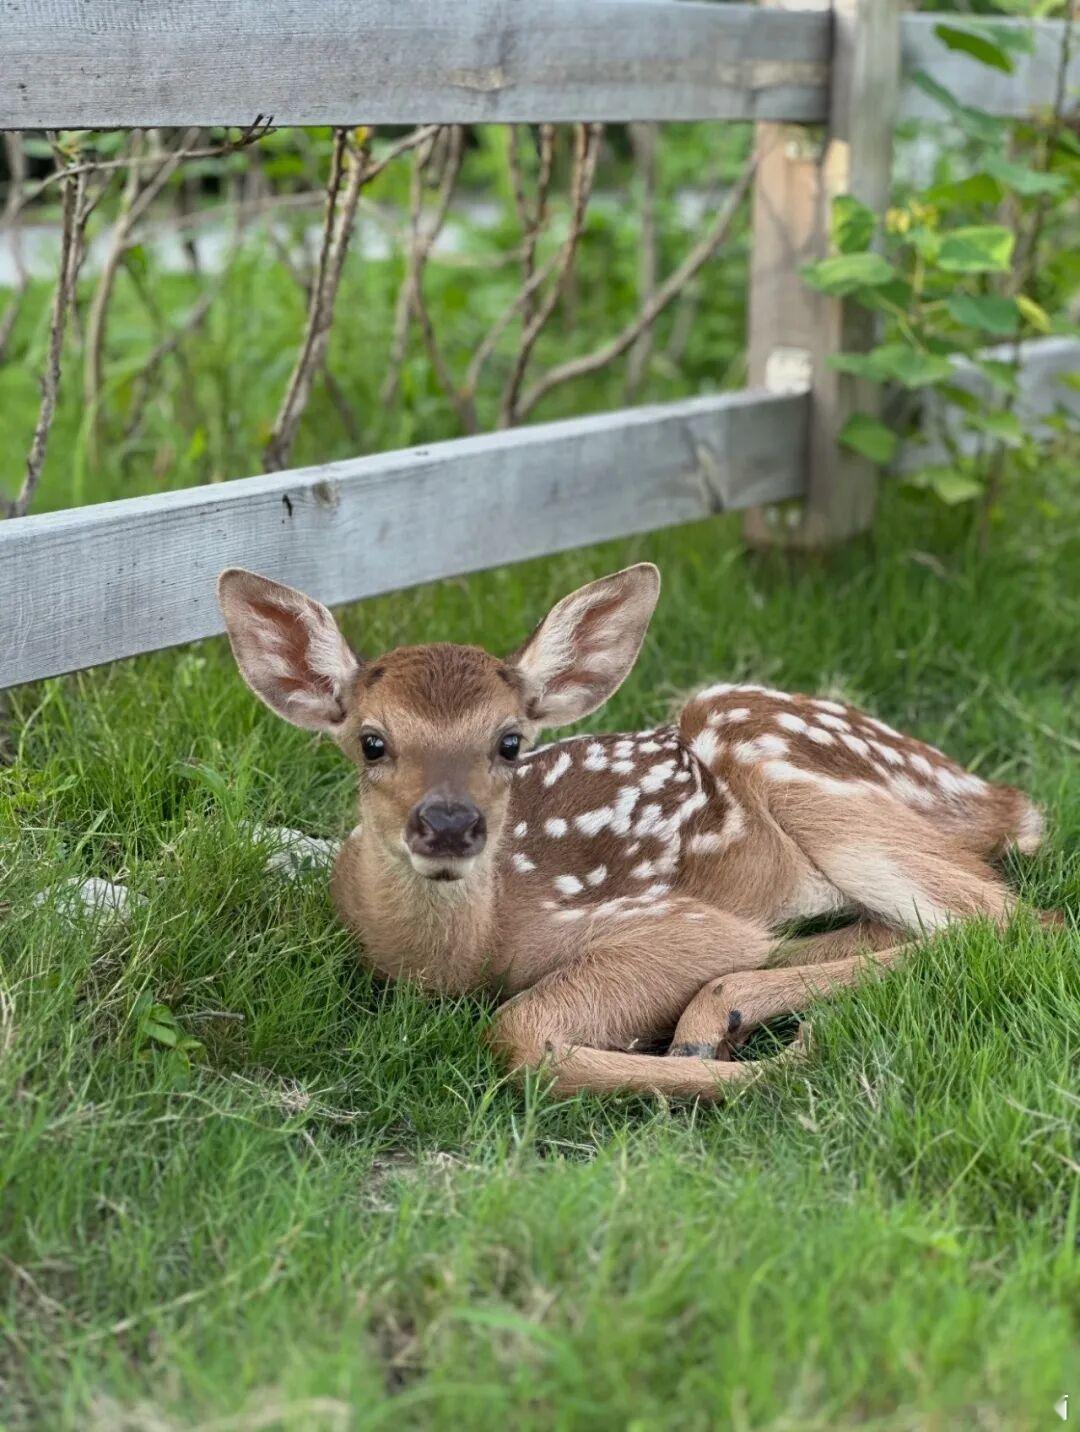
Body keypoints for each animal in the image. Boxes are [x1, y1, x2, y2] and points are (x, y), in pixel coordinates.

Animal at [217, 561, 1048, 1100]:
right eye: (372, 741)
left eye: (510, 742)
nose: (449, 824)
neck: (459, 954)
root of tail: (1002, 799)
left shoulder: (672, 920)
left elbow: (519, 1035)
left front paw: (775, 1060)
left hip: (796, 779)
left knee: (1012, 920)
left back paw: (718, 1018)